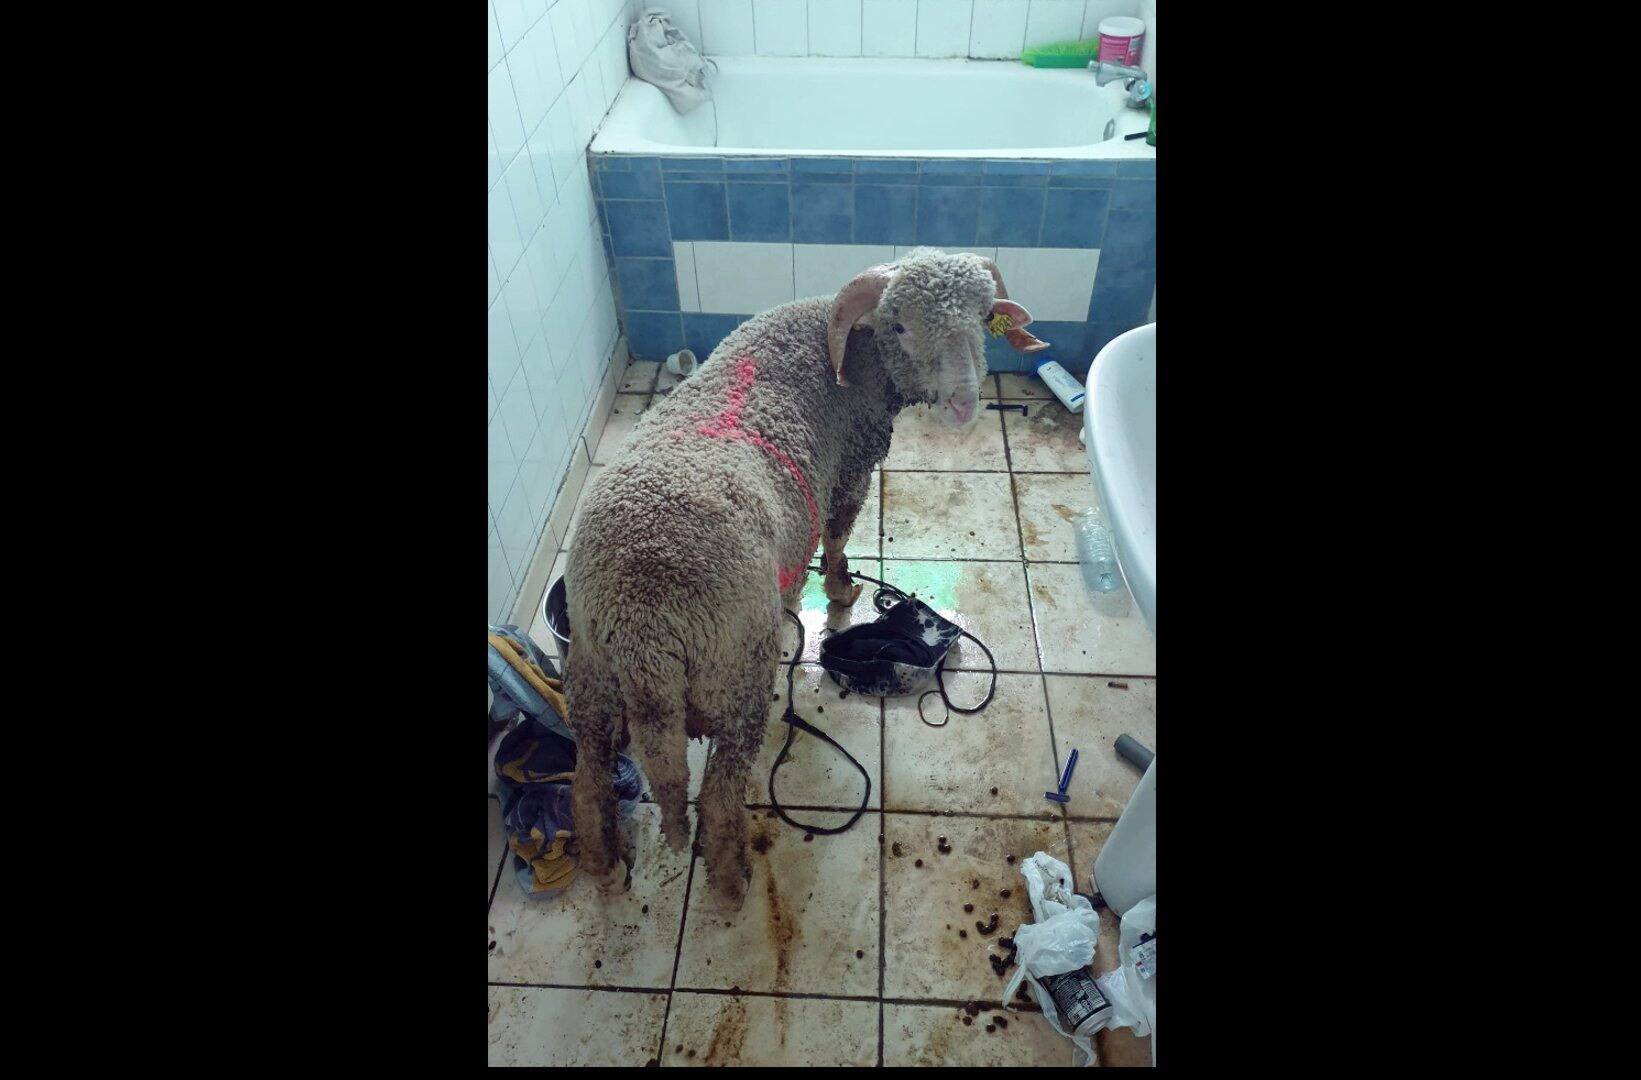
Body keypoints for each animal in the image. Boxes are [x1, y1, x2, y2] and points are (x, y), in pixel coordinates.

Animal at [564, 249, 1048, 911]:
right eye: (899, 325)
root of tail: (645, 626)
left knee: (587, 778)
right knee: (718, 792)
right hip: (734, 673)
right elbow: (838, 536)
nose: (963, 405)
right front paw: (842, 590)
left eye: (981, 318)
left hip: (590, 676)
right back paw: (730, 883)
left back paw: (605, 865)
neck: (851, 356)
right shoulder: (849, 471)